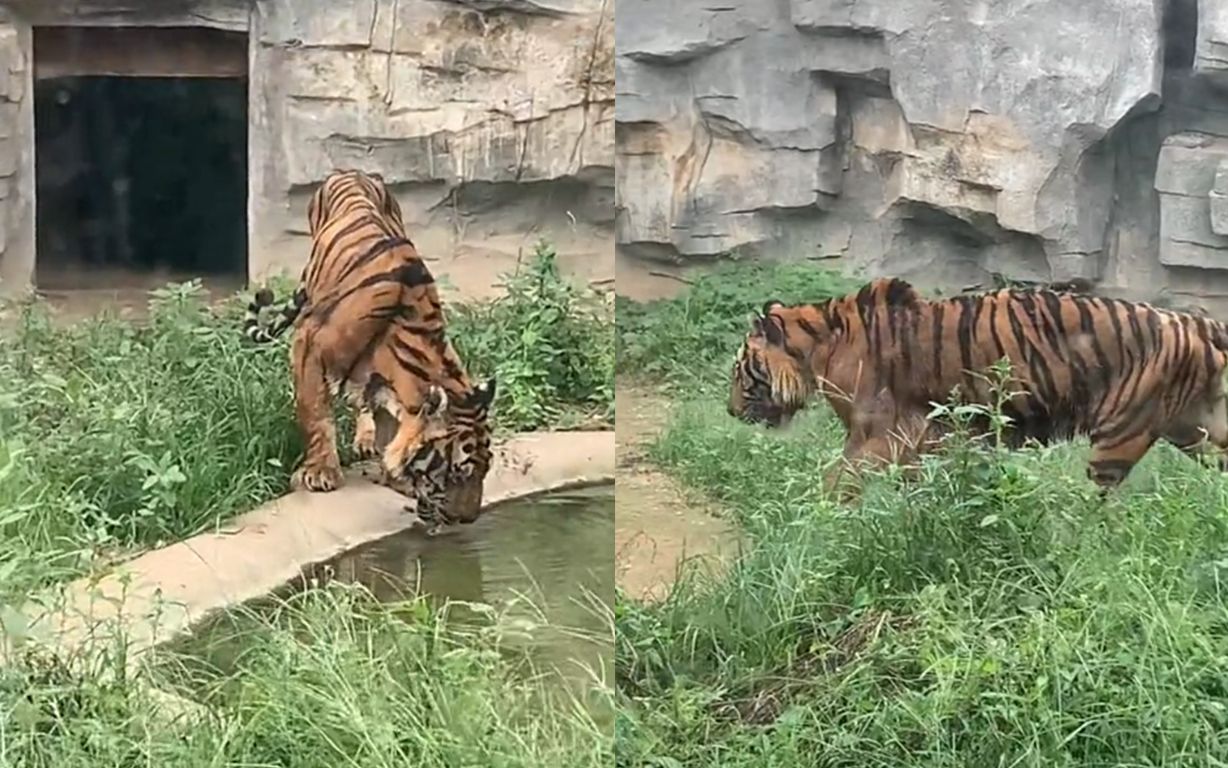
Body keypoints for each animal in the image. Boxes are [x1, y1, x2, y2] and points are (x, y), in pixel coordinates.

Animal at [241, 168, 496, 530]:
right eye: (457, 473)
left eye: (487, 468)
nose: (469, 519)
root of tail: (351, 171)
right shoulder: (308, 342)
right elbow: (315, 414)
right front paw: (320, 473)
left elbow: (388, 429)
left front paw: (393, 473)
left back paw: (364, 440)